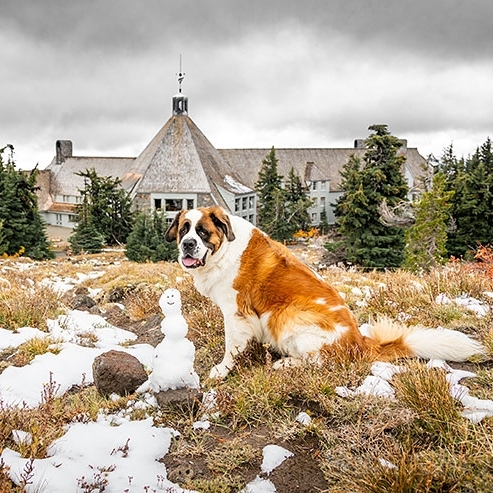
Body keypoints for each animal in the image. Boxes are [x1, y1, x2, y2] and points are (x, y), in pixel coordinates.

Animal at [165, 206, 484, 378]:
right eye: (184, 230)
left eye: (203, 232)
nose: (188, 245)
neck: (225, 250)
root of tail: (359, 342)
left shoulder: (236, 312)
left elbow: (231, 346)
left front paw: (222, 369)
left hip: (287, 314)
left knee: (317, 362)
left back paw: (287, 364)